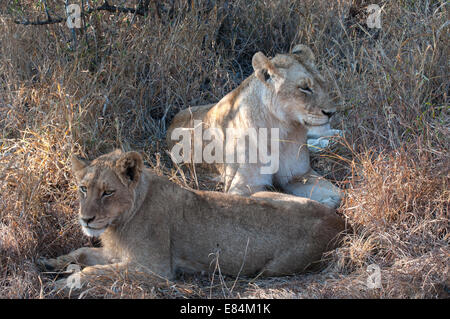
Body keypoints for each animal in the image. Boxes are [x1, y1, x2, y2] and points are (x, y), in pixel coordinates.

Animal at [39, 149, 344, 288]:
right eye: (83, 189)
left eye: (108, 192)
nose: (86, 219)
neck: (121, 221)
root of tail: (341, 222)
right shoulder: (119, 254)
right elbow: (81, 252)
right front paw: (51, 263)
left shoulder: (155, 269)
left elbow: (93, 272)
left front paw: (64, 284)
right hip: (260, 194)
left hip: (271, 269)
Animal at [167, 45, 342, 210]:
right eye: (304, 88)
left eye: (323, 84)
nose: (332, 112)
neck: (282, 130)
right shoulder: (240, 189)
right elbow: (282, 198)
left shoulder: (299, 175)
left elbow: (338, 193)